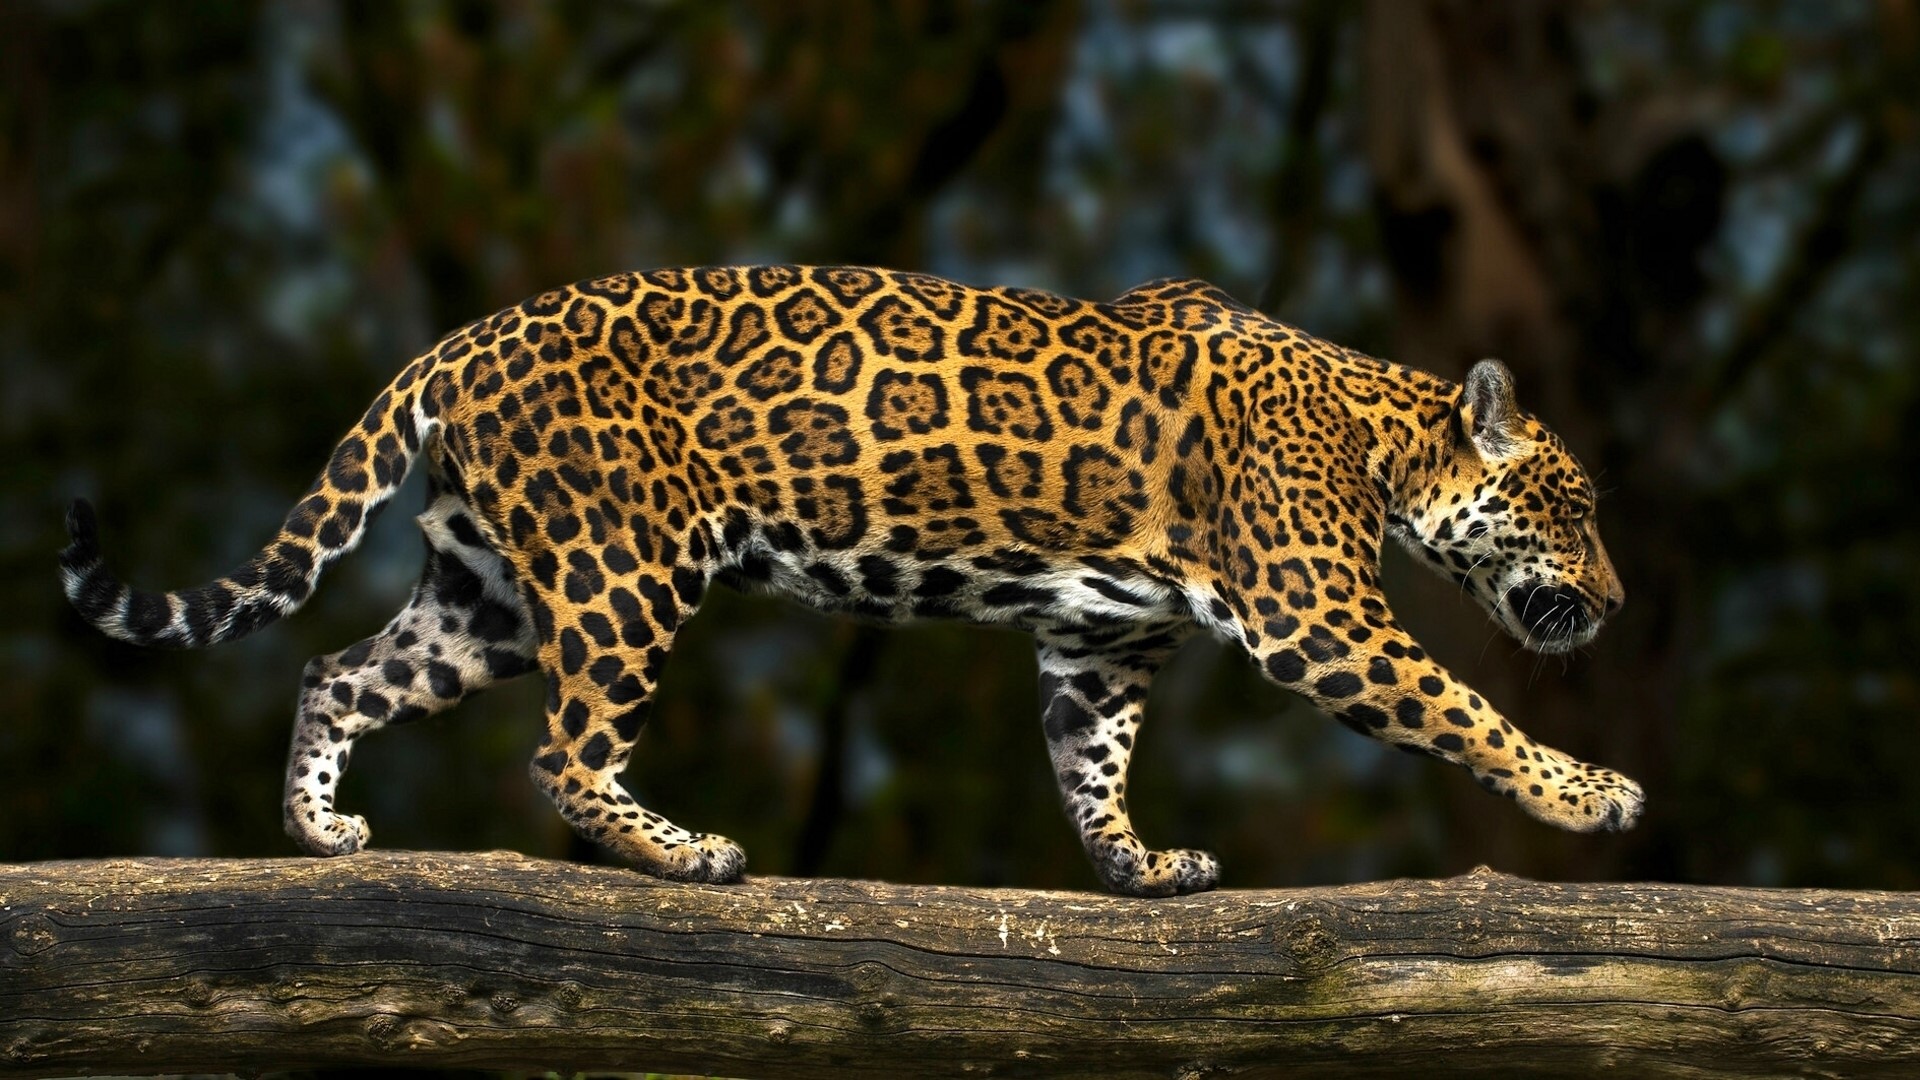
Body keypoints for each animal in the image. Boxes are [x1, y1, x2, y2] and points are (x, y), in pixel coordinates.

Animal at [61, 265, 1638, 897]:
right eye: (1571, 506)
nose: (1619, 604)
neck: (1386, 440)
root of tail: (461, 340)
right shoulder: (1322, 619)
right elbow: (1465, 707)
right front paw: (1591, 794)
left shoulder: (1104, 644)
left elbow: (1093, 764)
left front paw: (1139, 871)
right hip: (626, 566)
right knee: (566, 754)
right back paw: (684, 852)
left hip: (492, 597)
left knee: (340, 669)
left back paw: (319, 830)